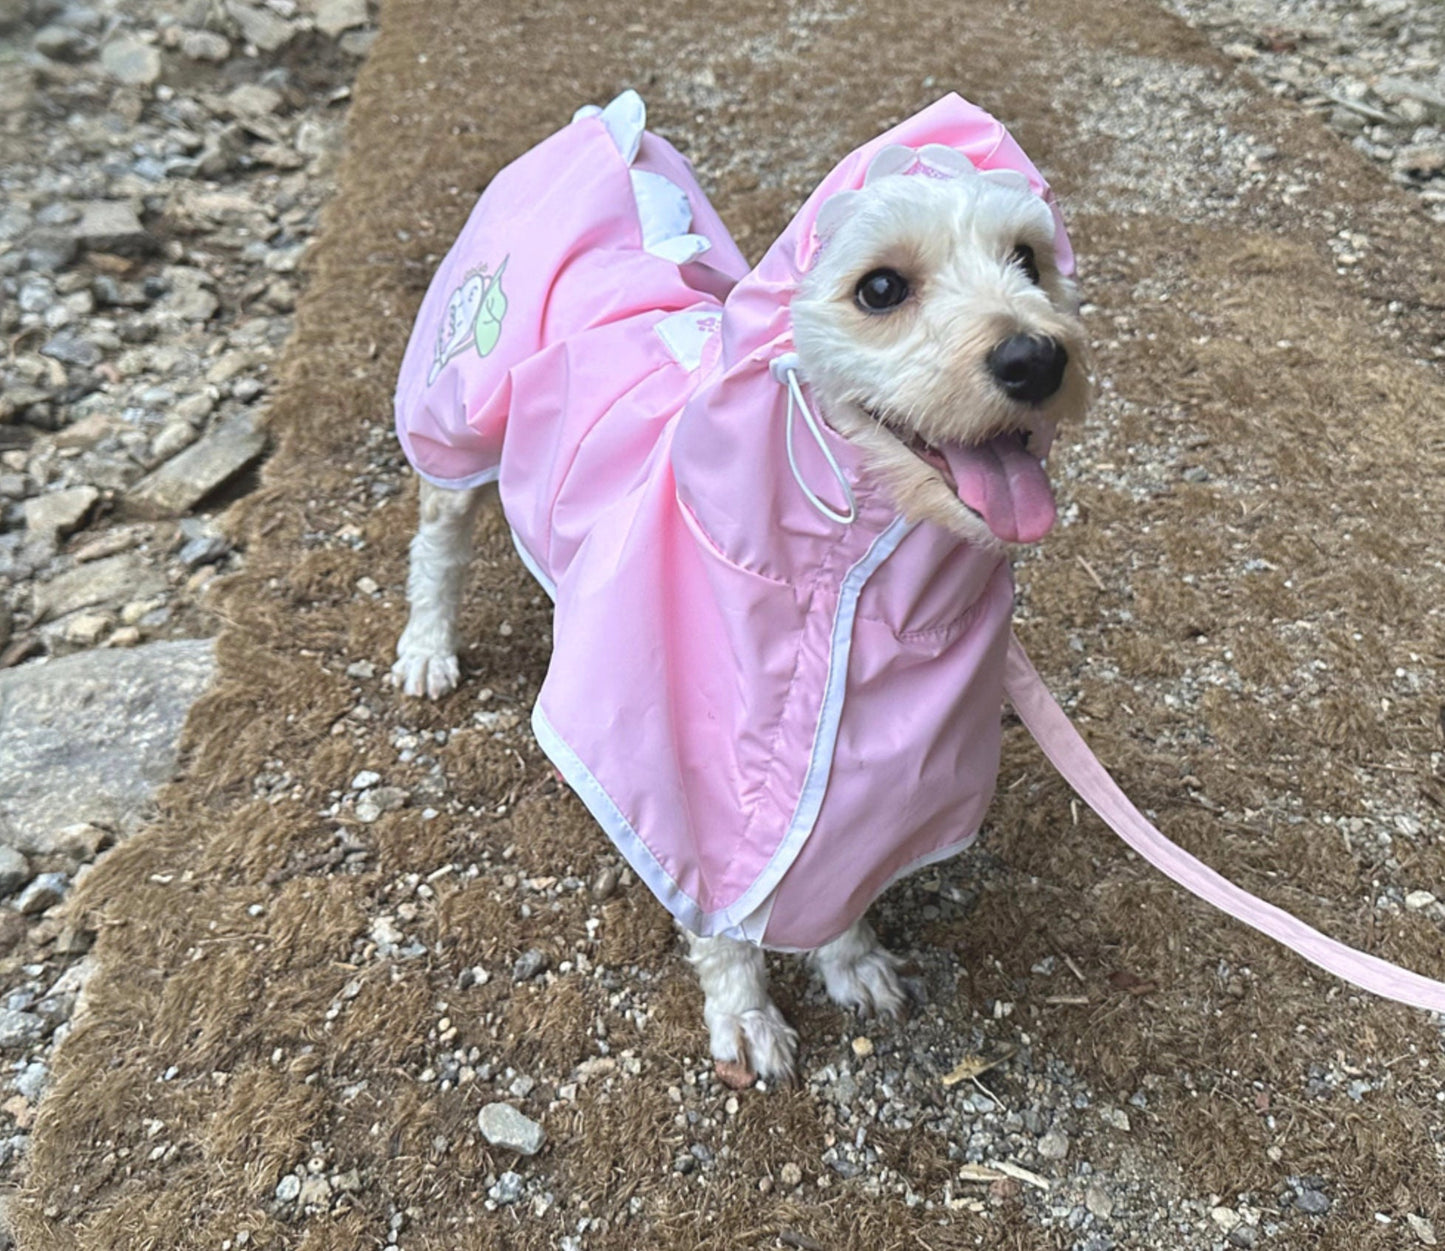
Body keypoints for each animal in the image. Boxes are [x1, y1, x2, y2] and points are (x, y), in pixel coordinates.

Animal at [384, 92, 1086, 1080]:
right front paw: (744, 1012)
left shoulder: (891, 752)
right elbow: (717, 903)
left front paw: (849, 956)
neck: (852, 582)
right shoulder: (678, 752)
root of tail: (604, 126)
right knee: (436, 544)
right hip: (452, 416)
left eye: (1028, 258)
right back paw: (427, 647)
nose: (1037, 358)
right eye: (880, 288)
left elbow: (830, 862)